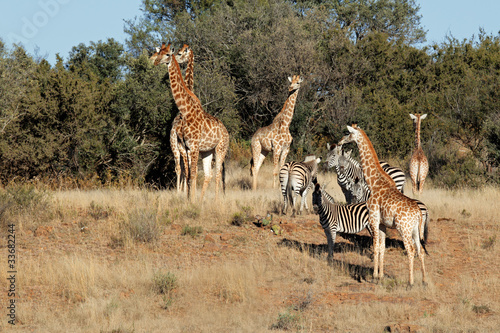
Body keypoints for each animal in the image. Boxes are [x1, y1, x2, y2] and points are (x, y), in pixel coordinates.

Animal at [155, 42, 229, 201]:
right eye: (158, 53)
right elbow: (189, 175)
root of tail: (226, 131)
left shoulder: (193, 147)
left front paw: (192, 200)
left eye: (168, 54)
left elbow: (193, 174)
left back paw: (216, 201)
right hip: (206, 151)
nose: (156, 61)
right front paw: (190, 199)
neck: (186, 111)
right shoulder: (188, 147)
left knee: (217, 174)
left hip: (220, 148)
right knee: (206, 174)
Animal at [338, 123, 428, 284]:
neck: (373, 182)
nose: (340, 141)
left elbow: (375, 247)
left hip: (404, 229)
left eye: (348, 133)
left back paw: (411, 282)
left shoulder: (373, 218)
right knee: (420, 250)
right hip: (415, 230)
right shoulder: (382, 223)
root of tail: (419, 213)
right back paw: (424, 281)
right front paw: (380, 276)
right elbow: (382, 247)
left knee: (411, 250)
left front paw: (374, 276)